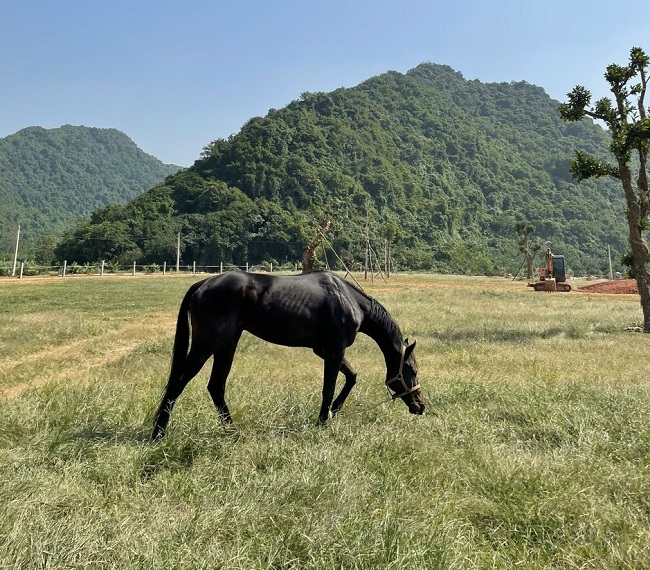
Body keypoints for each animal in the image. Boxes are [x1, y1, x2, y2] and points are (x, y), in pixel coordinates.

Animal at [153, 268, 426, 438]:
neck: (348, 299)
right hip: (206, 344)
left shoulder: (324, 350)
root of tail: (203, 284)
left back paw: (232, 431)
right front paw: (323, 420)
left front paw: (334, 411)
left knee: (216, 386)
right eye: (411, 370)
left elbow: (351, 377)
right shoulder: (334, 350)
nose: (420, 405)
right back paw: (158, 434)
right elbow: (329, 387)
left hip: (227, 344)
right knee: (178, 384)